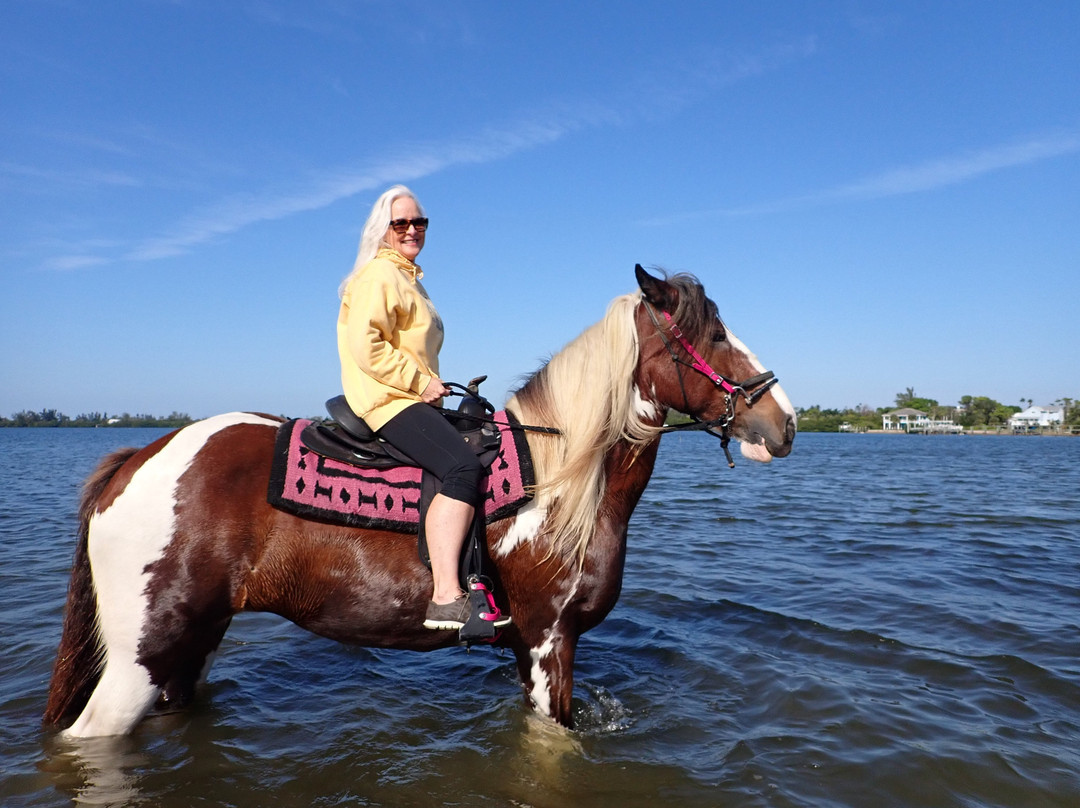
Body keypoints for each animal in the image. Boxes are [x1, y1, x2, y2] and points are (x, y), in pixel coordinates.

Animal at [43, 264, 796, 738]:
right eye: (714, 335)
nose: (783, 421)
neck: (557, 481)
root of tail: (136, 460)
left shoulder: (531, 649)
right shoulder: (550, 642)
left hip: (190, 647)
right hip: (139, 659)